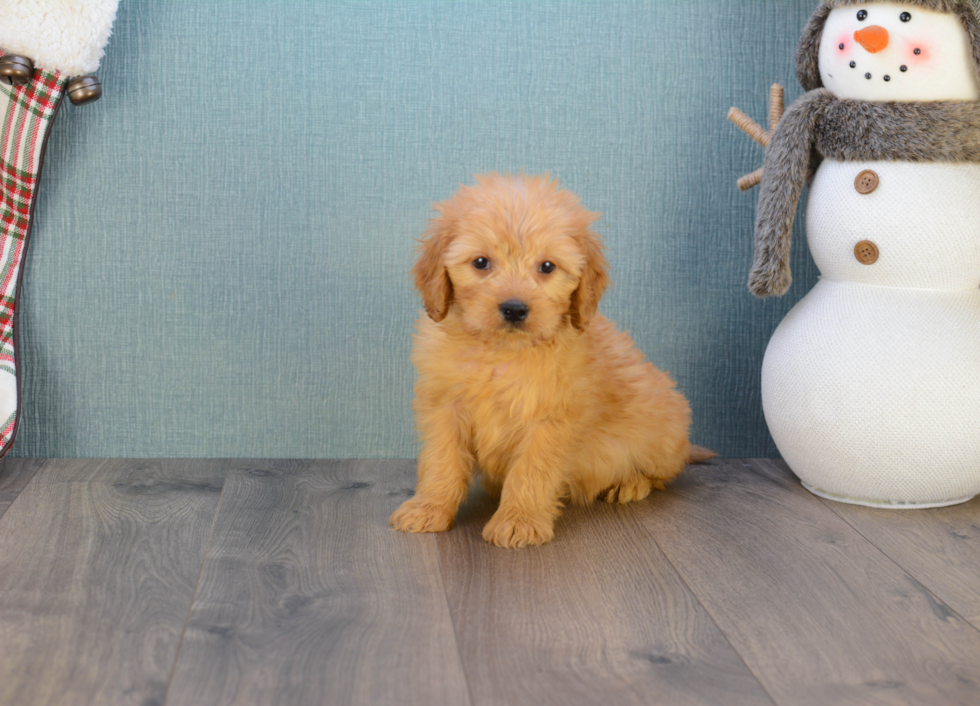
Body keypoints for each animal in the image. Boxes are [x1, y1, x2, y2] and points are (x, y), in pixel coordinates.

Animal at [390, 173, 712, 548]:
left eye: (547, 266)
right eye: (481, 262)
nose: (515, 309)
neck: (502, 352)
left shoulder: (552, 418)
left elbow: (531, 470)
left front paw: (519, 520)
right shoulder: (445, 408)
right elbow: (441, 461)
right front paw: (428, 507)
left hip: (664, 432)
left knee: (660, 476)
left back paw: (629, 483)